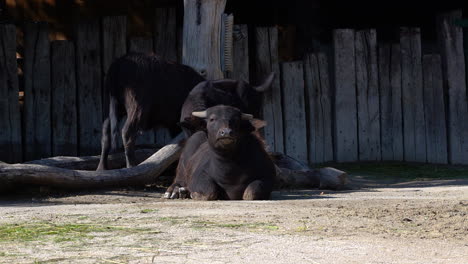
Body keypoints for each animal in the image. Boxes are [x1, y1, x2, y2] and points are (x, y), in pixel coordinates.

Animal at [98, 52, 274, 170]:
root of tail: (117, 65)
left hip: (112, 108)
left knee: (106, 133)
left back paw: (102, 168)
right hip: (137, 108)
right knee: (127, 132)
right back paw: (131, 166)